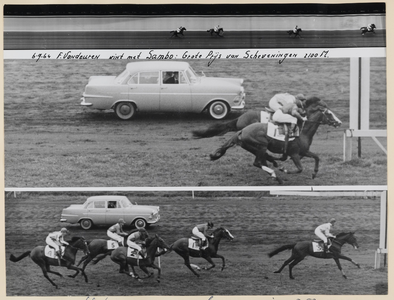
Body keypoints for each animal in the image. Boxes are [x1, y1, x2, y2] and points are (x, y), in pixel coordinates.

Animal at [209, 97, 342, 184]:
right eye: (329, 114)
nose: (340, 122)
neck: (302, 131)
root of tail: (242, 130)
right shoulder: (294, 153)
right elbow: (300, 169)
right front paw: (284, 169)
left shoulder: (304, 151)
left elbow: (317, 157)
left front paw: (314, 174)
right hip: (261, 146)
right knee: (257, 162)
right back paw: (275, 175)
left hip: (252, 147)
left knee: (261, 161)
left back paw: (273, 166)